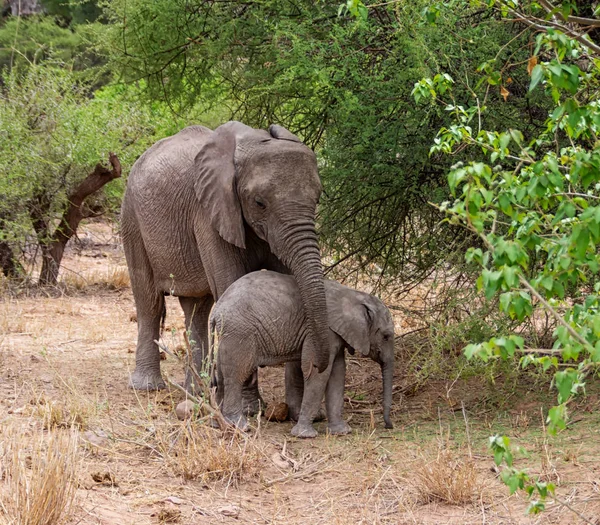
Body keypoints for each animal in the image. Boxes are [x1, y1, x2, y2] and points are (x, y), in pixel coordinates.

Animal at [121, 121, 328, 390]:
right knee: (149, 301)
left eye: (318, 197)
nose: (316, 365)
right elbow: (231, 283)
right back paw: (148, 387)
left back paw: (197, 390)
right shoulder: (208, 213)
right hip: (131, 217)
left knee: (197, 310)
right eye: (259, 203)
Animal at [209, 268, 396, 436]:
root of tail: (216, 311)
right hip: (239, 332)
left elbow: (337, 373)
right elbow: (319, 375)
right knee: (236, 375)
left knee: (222, 373)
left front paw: (341, 432)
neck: (353, 295)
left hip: (228, 334)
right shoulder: (323, 333)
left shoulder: (336, 335)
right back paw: (239, 427)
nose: (389, 426)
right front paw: (305, 435)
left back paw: (217, 423)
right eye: (386, 336)